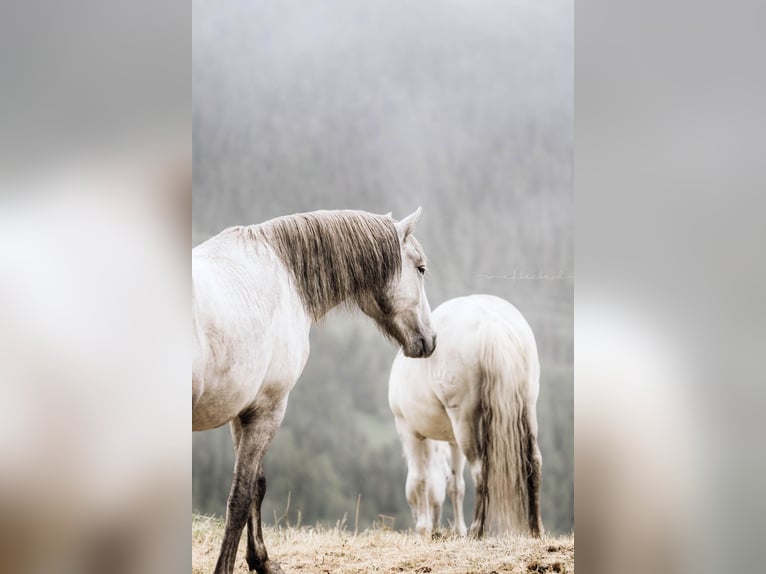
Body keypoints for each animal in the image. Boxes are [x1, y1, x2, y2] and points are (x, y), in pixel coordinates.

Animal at [192, 209, 436, 572]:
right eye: (420, 268)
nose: (431, 339)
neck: (285, 279)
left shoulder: (244, 412)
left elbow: (256, 486)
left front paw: (261, 560)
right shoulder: (269, 409)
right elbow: (241, 496)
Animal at [390, 296, 544, 540]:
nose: (430, 524)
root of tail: (491, 322)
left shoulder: (409, 431)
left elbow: (419, 480)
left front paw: (423, 530)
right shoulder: (453, 441)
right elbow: (456, 485)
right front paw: (455, 530)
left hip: (465, 423)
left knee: (480, 468)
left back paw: (476, 530)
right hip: (527, 409)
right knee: (535, 461)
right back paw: (535, 529)